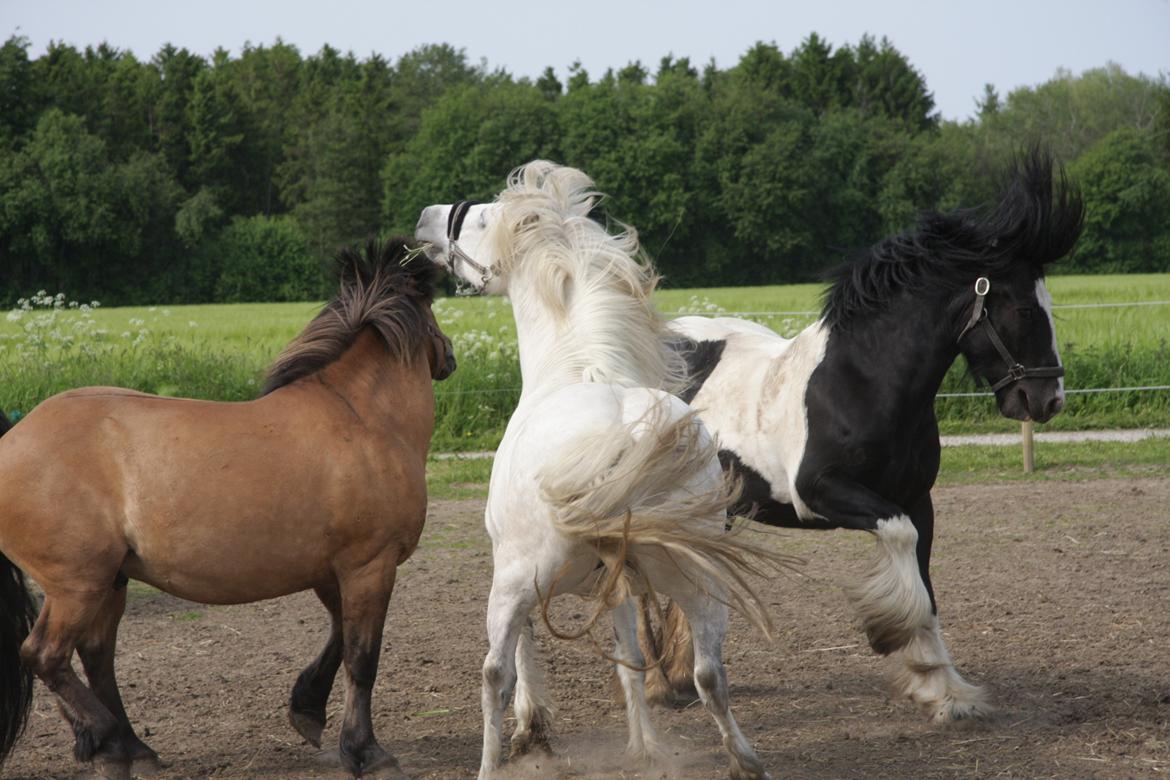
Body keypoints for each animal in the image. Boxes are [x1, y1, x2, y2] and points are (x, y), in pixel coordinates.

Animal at [0, 239, 451, 780]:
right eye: (434, 309)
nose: (449, 356)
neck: (362, 418)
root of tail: (12, 439)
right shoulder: (370, 565)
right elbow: (362, 658)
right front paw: (366, 751)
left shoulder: (332, 571)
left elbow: (339, 636)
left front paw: (307, 711)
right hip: (76, 584)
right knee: (45, 655)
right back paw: (107, 739)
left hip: (111, 580)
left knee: (95, 655)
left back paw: (130, 748)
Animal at [414, 161, 795, 776]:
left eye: (482, 218)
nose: (426, 219)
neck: (578, 368)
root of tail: (625, 434)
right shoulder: (620, 584)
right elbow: (628, 658)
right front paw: (644, 747)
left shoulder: (515, 577)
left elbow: (521, 661)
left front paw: (533, 732)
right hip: (699, 581)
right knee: (709, 674)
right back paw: (743, 760)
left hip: (517, 581)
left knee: (493, 674)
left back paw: (490, 764)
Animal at [645, 150, 1081, 720]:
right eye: (1026, 309)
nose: (1047, 400)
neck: (863, 383)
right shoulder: (821, 494)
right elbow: (902, 553)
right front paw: (893, 638)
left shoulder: (917, 501)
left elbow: (925, 584)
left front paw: (945, 690)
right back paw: (656, 683)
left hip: (711, 511)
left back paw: (678, 677)